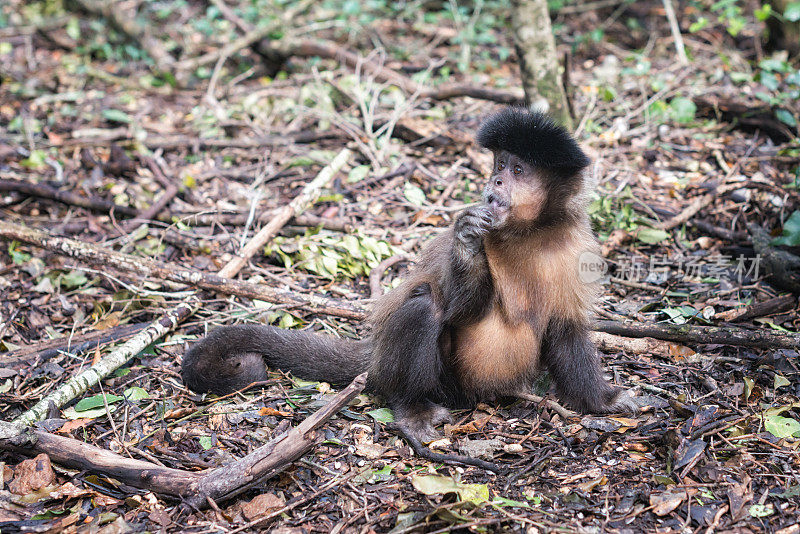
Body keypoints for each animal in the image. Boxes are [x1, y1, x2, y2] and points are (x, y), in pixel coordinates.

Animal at [183, 107, 636, 442]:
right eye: (500, 164)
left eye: (518, 170)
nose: (495, 180)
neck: (528, 231)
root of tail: (376, 357)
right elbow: (457, 309)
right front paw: (468, 245)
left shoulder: (576, 247)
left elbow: (566, 329)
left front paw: (601, 401)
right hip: (441, 382)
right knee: (424, 307)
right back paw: (412, 407)